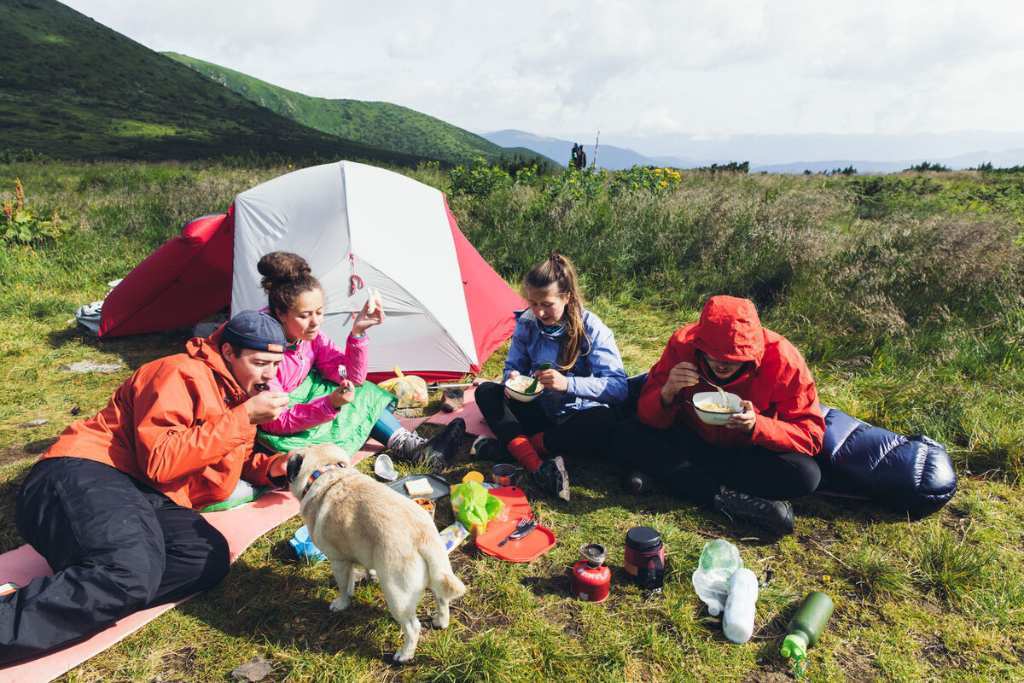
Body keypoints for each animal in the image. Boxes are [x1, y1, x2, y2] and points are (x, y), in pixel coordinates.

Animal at [286, 444, 466, 663]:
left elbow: (345, 586)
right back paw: (441, 621)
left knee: (412, 627)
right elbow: (364, 568)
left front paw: (342, 603)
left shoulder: (338, 561)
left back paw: (404, 655)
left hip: (397, 595)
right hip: (438, 572)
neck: (327, 471)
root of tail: (422, 534)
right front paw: (369, 576)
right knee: (442, 598)